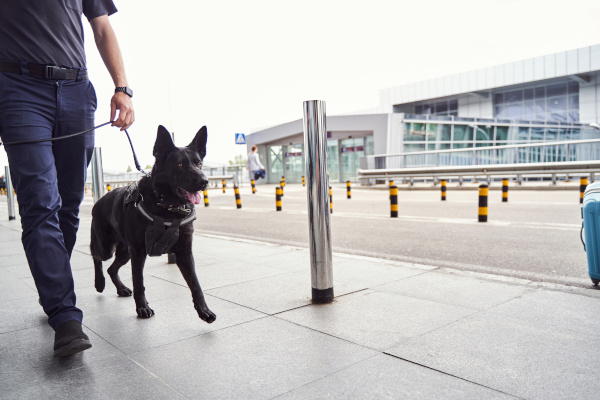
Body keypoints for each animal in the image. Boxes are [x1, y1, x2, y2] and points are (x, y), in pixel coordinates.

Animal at [90, 126, 217, 324]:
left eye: (199, 164)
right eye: (180, 164)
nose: (205, 181)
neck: (167, 205)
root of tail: (98, 201)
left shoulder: (184, 254)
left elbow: (196, 285)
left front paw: (204, 311)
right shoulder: (138, 253)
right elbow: (139, 282)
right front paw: (142, 308)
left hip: (125, 253)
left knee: (111, 269)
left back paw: (121, 288)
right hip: (107, 248)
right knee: (96, 256)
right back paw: (99, 282)